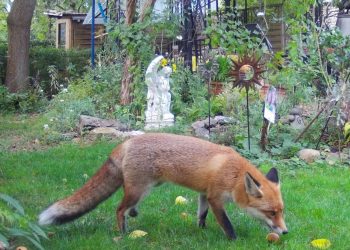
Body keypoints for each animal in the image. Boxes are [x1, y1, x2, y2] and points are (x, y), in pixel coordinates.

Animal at [39, 134, 288, 239]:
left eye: (281, 212)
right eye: (271, 213)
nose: (285, 232)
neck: (234, 174)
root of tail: (125, 143)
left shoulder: (204, 193)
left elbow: (201, 215)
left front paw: (201, 231)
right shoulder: (216, 198)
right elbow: (227, 224)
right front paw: (234, 240)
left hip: (146, 188)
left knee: (128, 208)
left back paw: (133, 215)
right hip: (139, 189)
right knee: (119, 209)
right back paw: (123, 233)